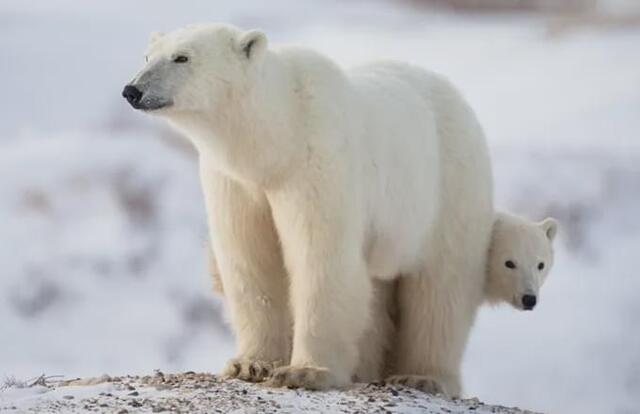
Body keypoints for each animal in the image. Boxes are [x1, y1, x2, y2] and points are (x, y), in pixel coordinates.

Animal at [123, 23, 494, 395]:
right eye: (147, 56)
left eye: (182, 57)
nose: (132, 90)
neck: (278, 135)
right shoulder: (235, 182)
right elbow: (252, 260)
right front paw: (250, 364)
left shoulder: (317, 162)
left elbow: (320, 256)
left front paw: (305, 371)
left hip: (450, 187)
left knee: (441, 288)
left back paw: (422, 375)